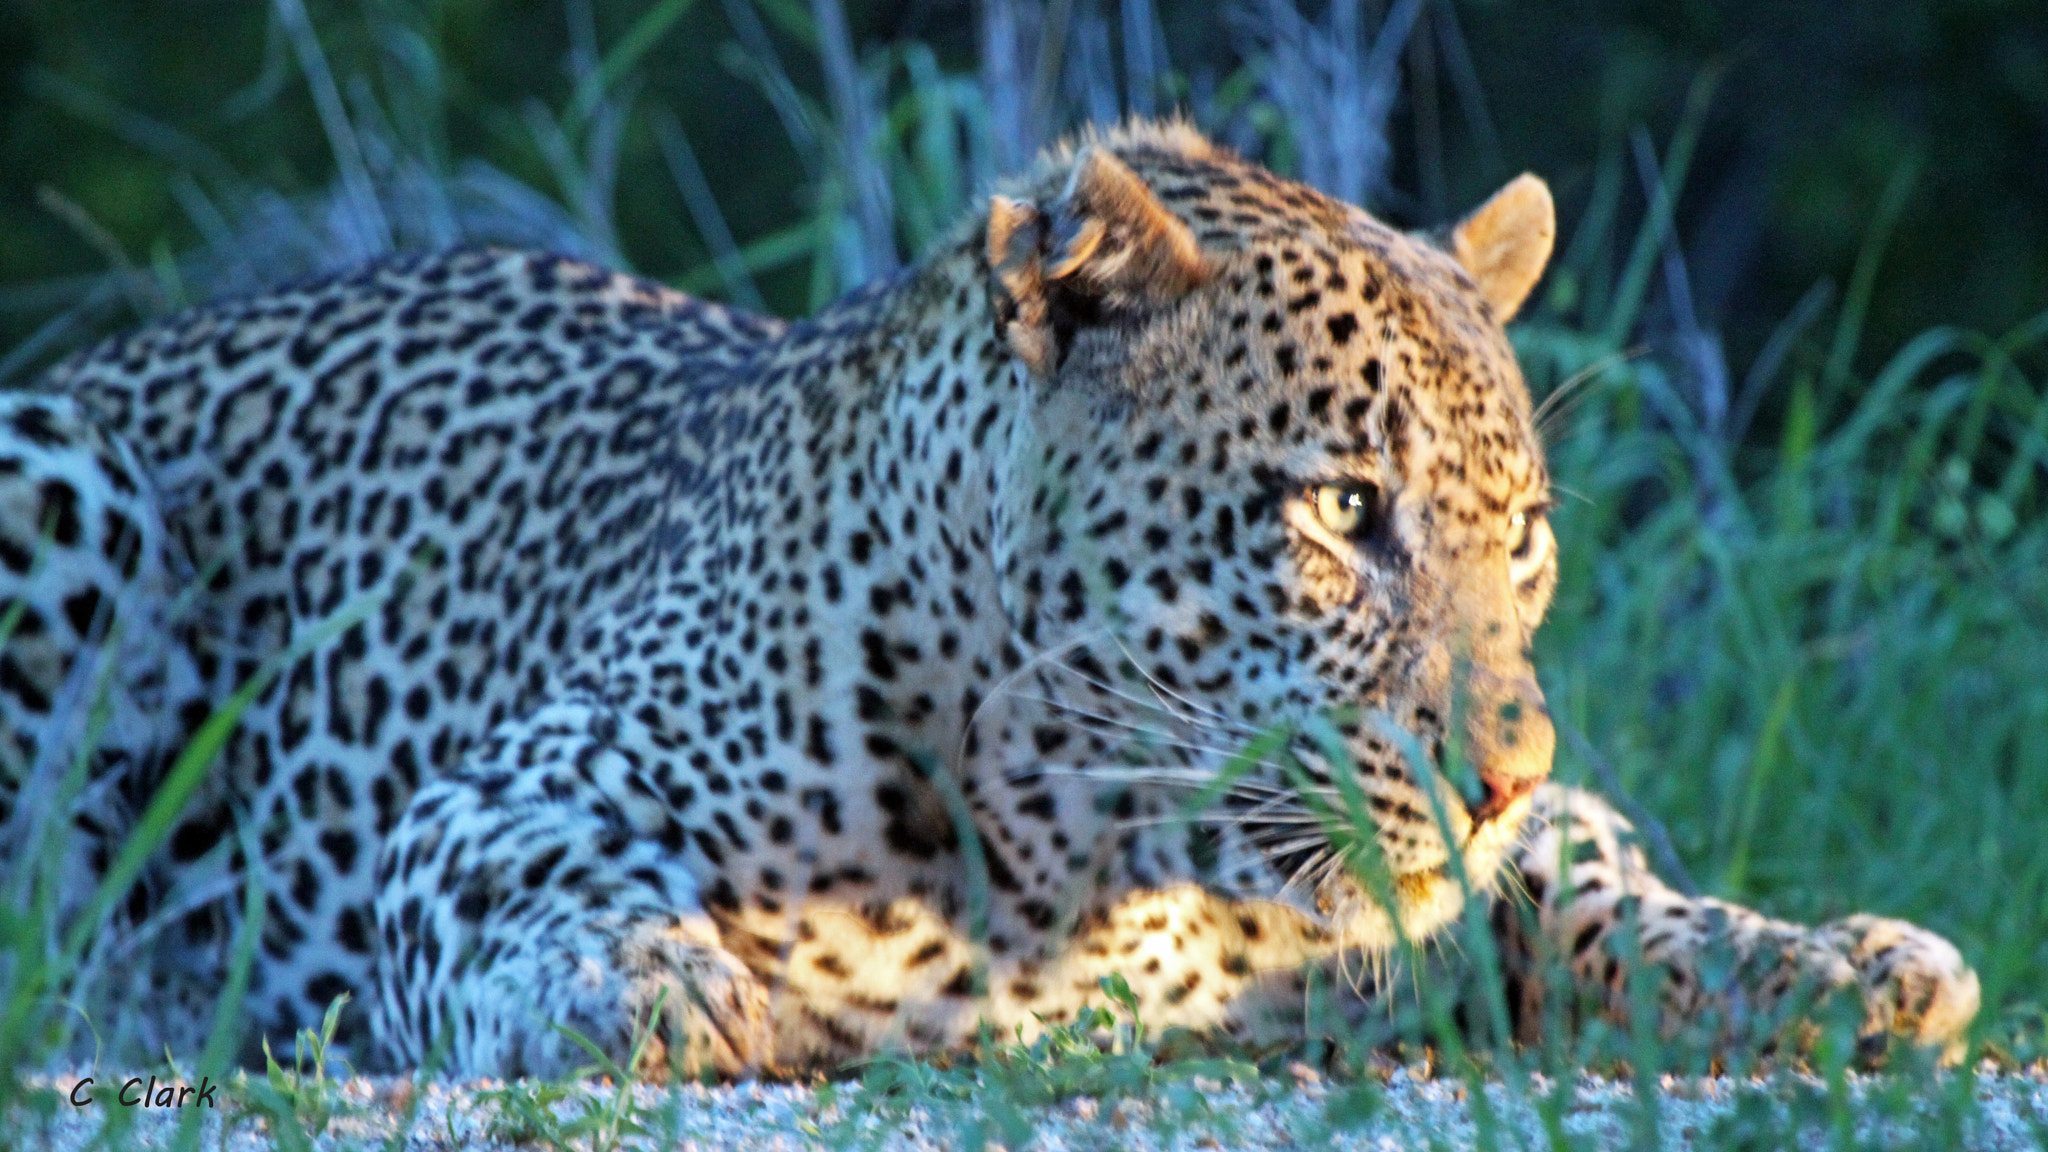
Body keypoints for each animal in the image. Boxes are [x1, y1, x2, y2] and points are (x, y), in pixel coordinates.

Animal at [0, 120, 1979, 1079]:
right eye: (1346, 510)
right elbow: (529, 884)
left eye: (1525, 537)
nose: (1490, 776)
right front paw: (643, 985)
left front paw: (1832, 961)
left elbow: (1594, 877)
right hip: (55, 471)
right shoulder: (519, 777)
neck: (1099, 870)